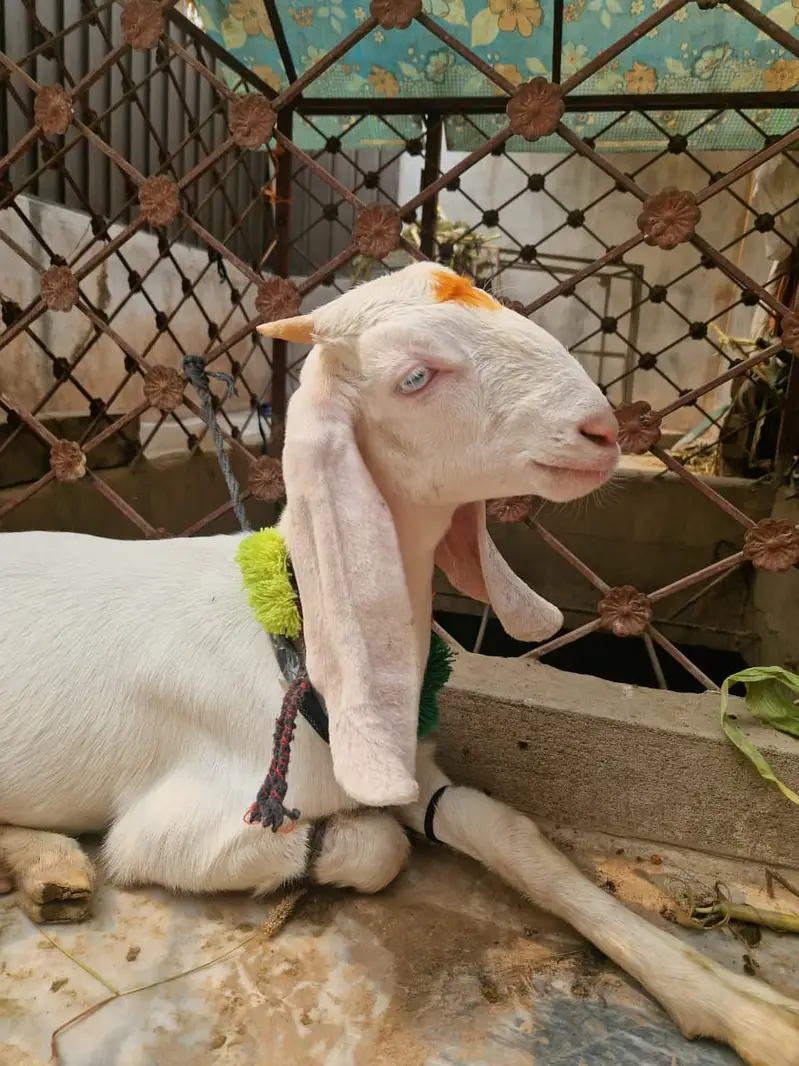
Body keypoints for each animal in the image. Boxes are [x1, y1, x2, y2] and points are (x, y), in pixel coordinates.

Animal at [1, 263, 797, 1065]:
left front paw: (749, 1009)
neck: (287, 642)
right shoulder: (175, 832)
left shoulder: (401, 753)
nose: (603, 431)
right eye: (415, 376)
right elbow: (377, 845)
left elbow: (505, 830)